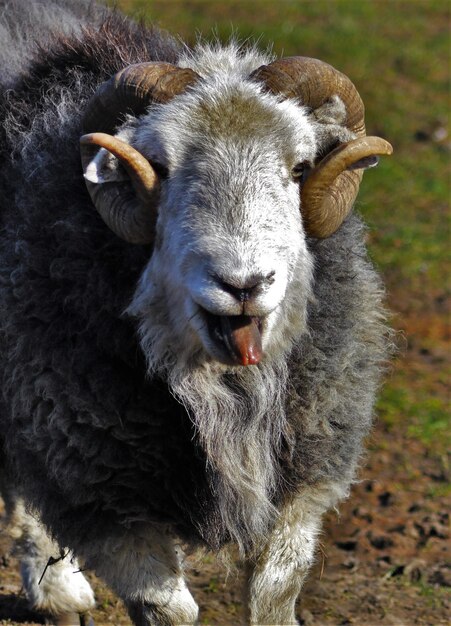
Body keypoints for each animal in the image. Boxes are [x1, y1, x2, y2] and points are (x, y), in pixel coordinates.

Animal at [0, 1, 392, 624]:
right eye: (158, 165)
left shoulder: (302, 475)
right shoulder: (101, 486)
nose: (244, 284)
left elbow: (276, 588)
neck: (227, 394)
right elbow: (167, 609)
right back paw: (59, 591)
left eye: (300, 166)